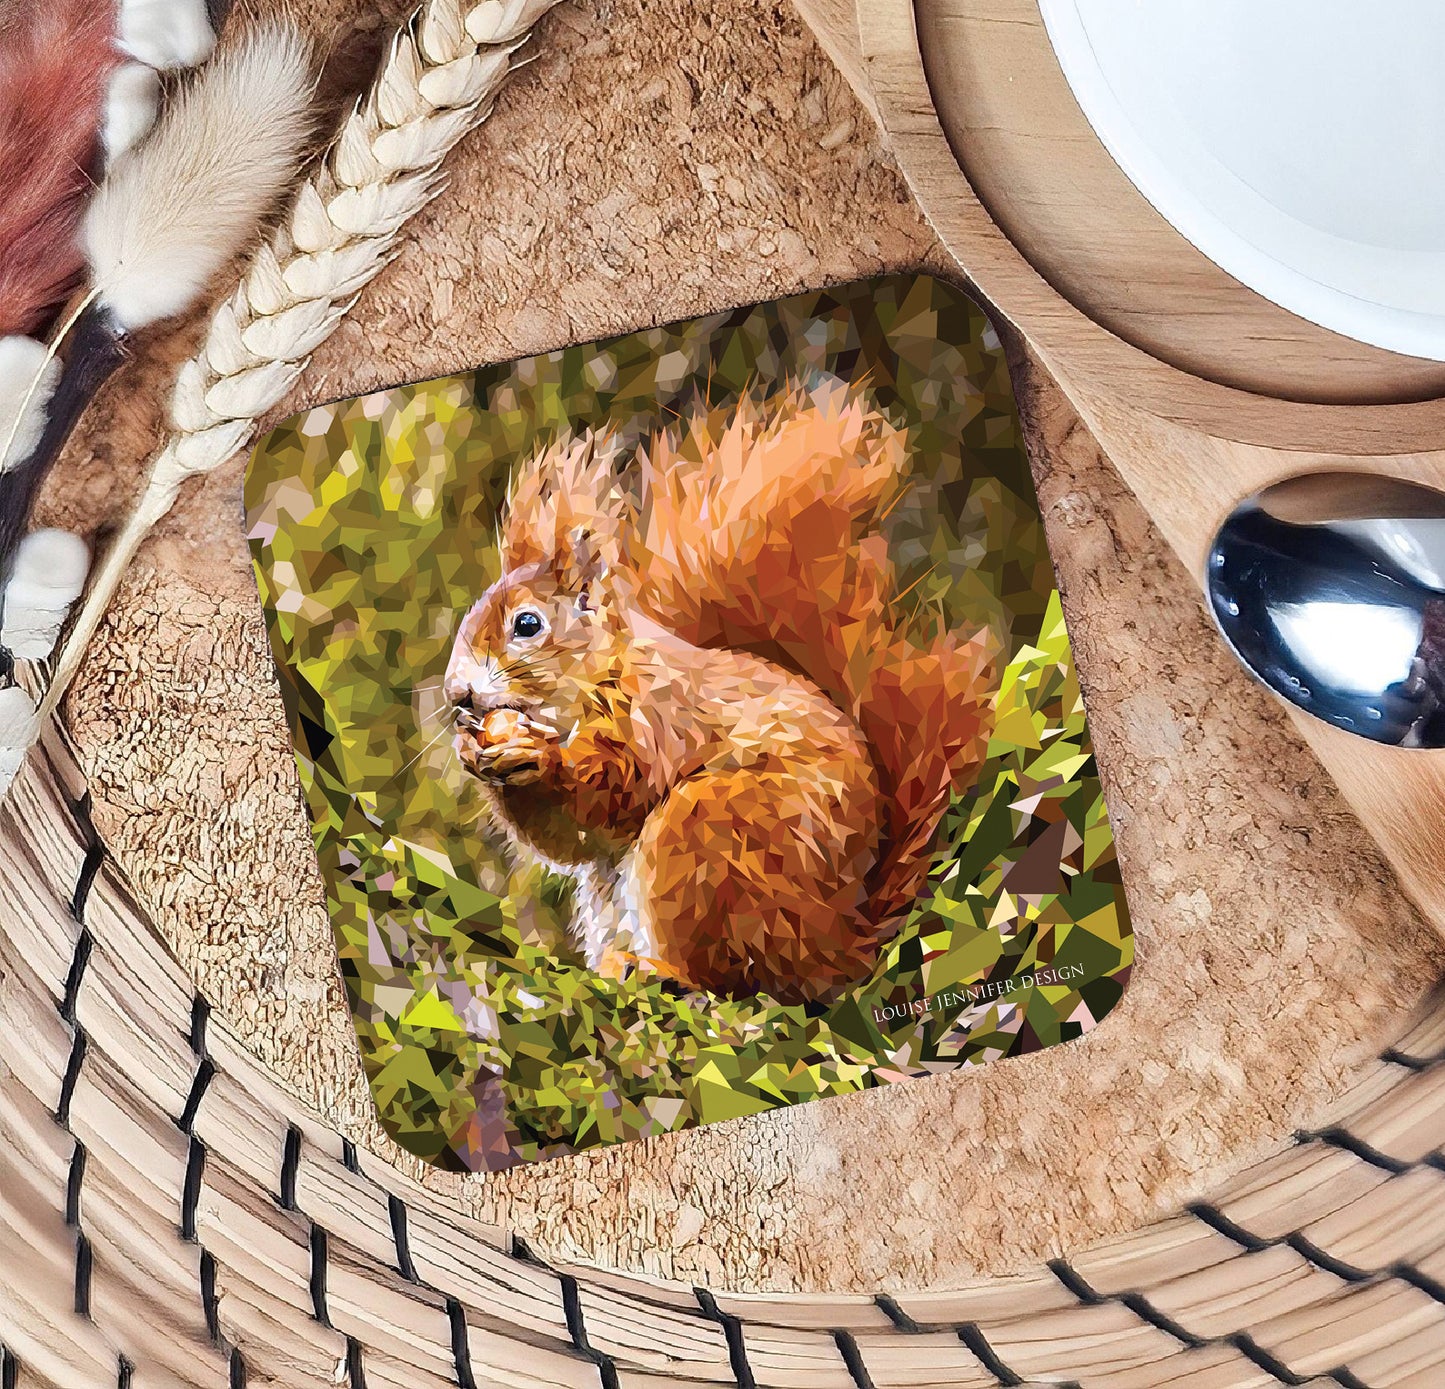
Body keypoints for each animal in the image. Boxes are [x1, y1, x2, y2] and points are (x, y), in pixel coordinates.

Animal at [443, 380, 994, 1003]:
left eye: (528, 625)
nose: (457, 694)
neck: (596, 679)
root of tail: (837, 948)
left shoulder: (657, 718)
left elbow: (612, 789)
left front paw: (538, 758)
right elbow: (570, 841)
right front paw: (472, 752)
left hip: (705, 840)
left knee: (727, 978)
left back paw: (659, 971)